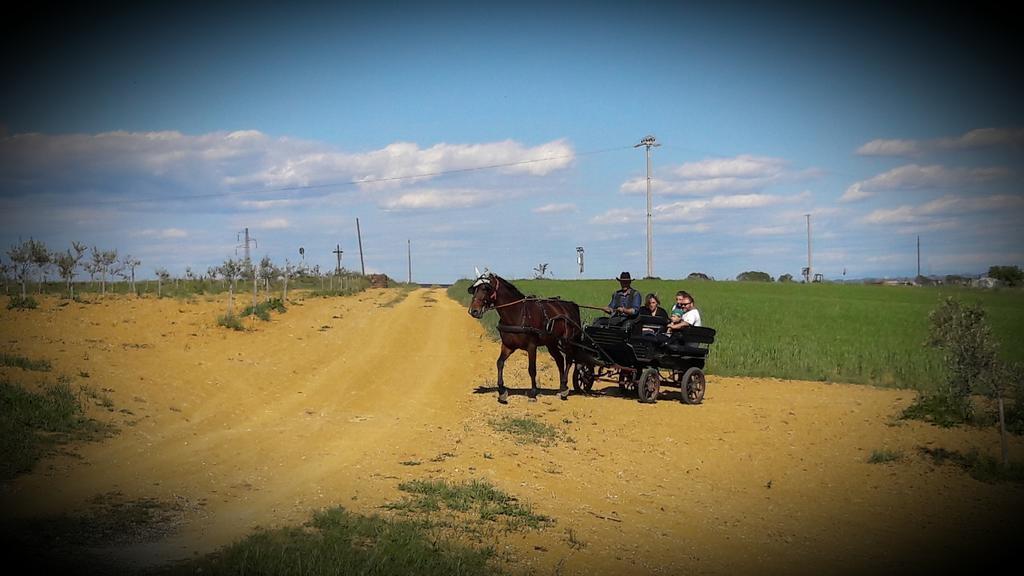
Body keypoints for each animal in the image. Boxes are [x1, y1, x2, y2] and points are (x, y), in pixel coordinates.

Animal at [466, 270, 581, 401]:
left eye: (485, 288)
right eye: (474, 289)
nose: (473, 311)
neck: (517, 313)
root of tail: (571, 305)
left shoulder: (532, 346)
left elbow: (532, 369)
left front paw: (533, 392)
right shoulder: (507, 345)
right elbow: (499, 363)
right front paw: (502, 390)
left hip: (567, 341)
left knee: (569, 360)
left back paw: (565, 387)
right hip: (551, 342)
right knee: (560, 360)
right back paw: (561, 387)